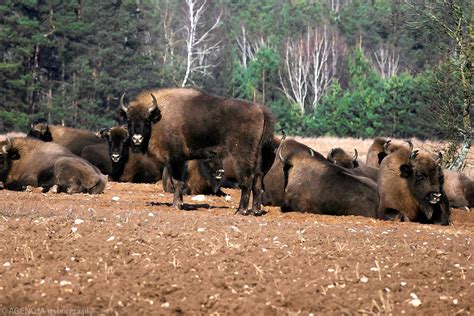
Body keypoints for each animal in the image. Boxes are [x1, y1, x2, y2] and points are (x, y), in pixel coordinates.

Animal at [118, 87, 274, 215]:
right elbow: (177, 181)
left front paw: (176, 205)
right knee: (258, 178)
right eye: (129, 120)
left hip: (242, 154)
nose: (137, 138)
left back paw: (241, 211)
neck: (159, 117)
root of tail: (261, 110)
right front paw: (180, 203)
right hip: (257, 155)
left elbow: (177, 181)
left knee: (247, 179)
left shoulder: (176, 159)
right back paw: (255, 211)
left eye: (146, 120)